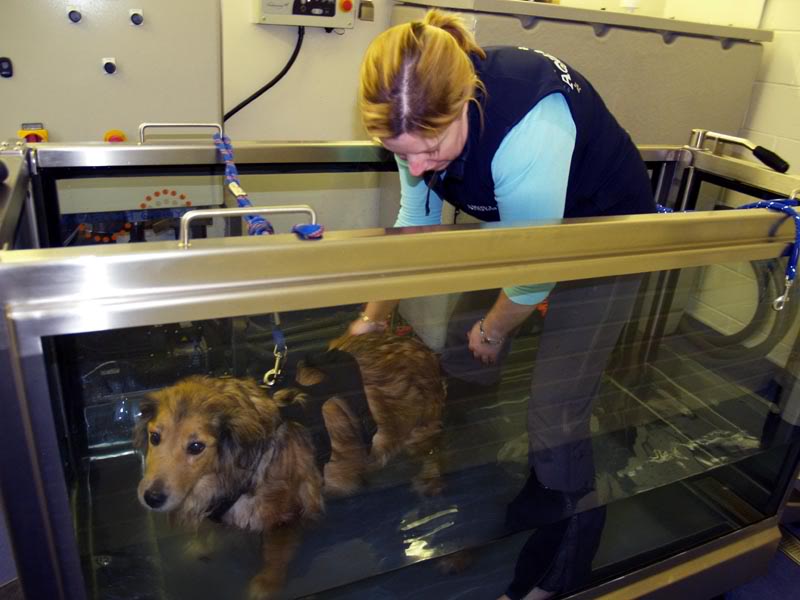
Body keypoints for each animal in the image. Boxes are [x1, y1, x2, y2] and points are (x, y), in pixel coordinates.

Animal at [134, 332, 440, 600]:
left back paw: (428, 481)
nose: (151, 498)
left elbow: (275, 556)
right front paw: (197, 547)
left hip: (419, 436)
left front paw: (264, 586)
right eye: (154, 437)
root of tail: (418, 345)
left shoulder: (288, 515)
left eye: (196, 446)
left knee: (434, 453)